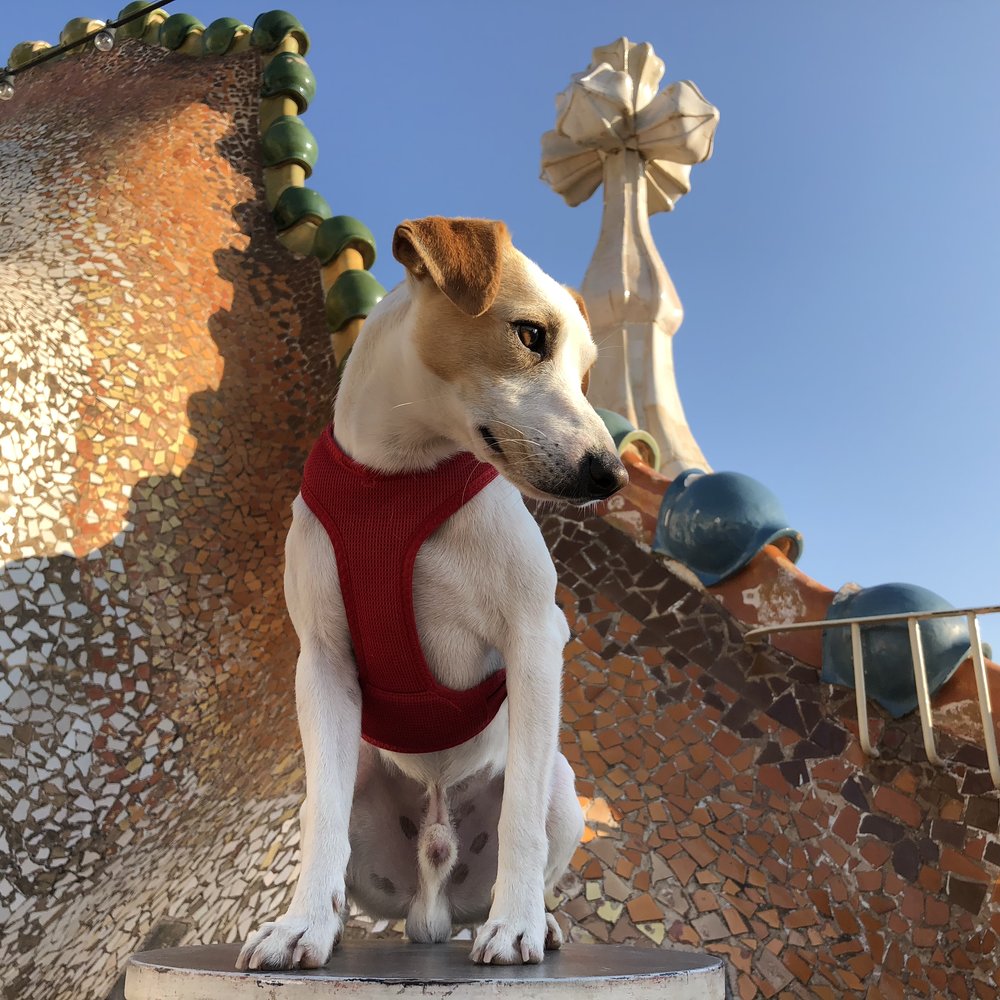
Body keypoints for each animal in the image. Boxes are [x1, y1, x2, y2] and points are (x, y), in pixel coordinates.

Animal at [235, 217, 624, 968]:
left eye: (588, 371)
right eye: (531, 335)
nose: (612, 474)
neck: (397, 474)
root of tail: (433, 895)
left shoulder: (536, 639)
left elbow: (522, 813)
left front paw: (517, 924)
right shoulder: (322, 661)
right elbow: (324, 820)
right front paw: (303, 925)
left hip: (566, 790)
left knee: (536, 815)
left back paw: (539, 921)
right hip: (356, 778)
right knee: (328, 813)